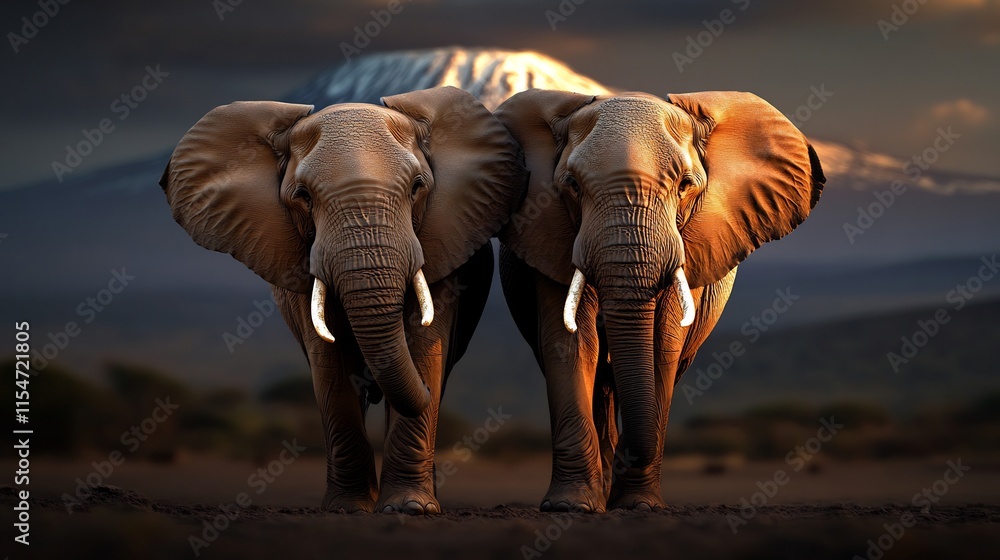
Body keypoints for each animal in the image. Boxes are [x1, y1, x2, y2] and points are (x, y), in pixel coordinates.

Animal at [159, 86, 528, 514]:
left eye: (417, 187)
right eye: (302, 196)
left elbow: (425, 347)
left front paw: (410, 509)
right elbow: (330, 364)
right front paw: (348, 508)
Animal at [494, 89, 825, 512]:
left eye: (684, 185)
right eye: (572, 185)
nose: (630, 457)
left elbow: (661, 345)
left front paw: (639, 505)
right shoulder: (549, 230)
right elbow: (571, 343)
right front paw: (570, 506)